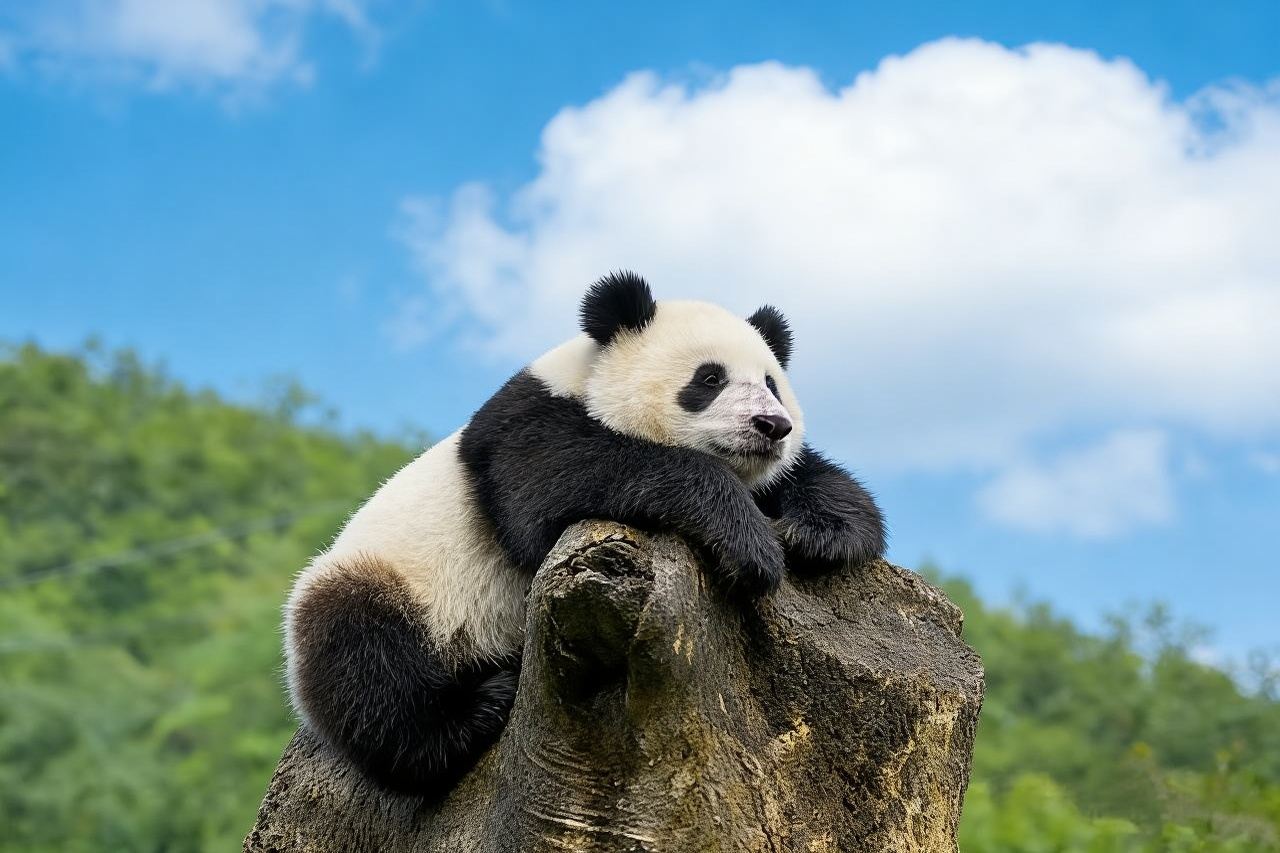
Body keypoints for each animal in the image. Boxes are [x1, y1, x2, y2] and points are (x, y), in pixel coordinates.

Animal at [283, 271, 885, 796]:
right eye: (709, 379)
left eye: (771, 384)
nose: (771, 425)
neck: (586, 383)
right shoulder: (524, 430)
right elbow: (559, 489)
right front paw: (748, 542)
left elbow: (810, 478)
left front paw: (818, 532)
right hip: (387, 583)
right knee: (368, 663)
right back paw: (477, 708)